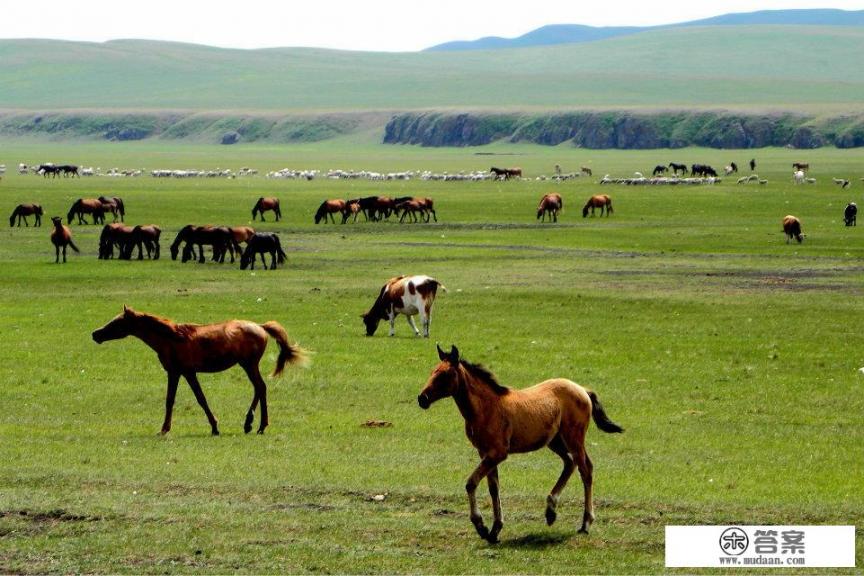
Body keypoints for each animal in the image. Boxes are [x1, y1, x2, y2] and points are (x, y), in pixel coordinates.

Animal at [93, 304, 308, 434]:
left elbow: (197, 399)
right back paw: (249, 423)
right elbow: (174, 400)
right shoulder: (178, 373)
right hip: (247, 365)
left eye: (117, 322)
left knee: (261, 387)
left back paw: (259, 425)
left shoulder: (184, 372)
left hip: (249, 364)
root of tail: (261, 327)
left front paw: (213, 427)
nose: (95, 334)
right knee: (258, 388)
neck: (172, 338)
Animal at [416, 346, 620, 544]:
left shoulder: (498, 453)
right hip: (555, 441)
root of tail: (583, 390)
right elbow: (493, 488)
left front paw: (481, 526)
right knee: (570, 463)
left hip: (573, 438)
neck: (486, 408)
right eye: (432, 371)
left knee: (585, 469)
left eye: (444, 374)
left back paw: (585, 523)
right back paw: (550, 511)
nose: (422, 398)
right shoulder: (485, 453)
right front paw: (495, 530)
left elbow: (471, 483)